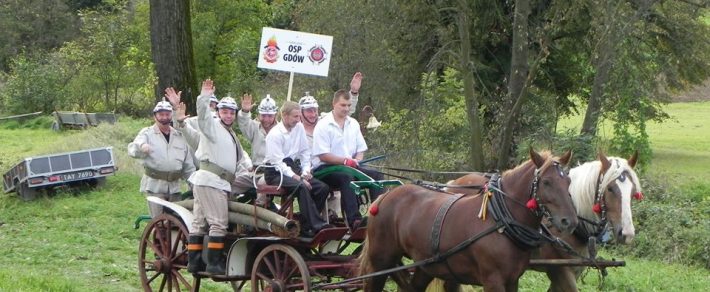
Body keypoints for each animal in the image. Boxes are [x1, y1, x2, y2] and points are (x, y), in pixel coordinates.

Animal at [362, 149, 580, 290]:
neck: (500, 221)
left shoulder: (512, 280)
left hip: (426, 265)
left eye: (569, 181)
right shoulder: (493, 280)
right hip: (380, 262)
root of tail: (385, 195)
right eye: (546, 182)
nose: (569, 221)